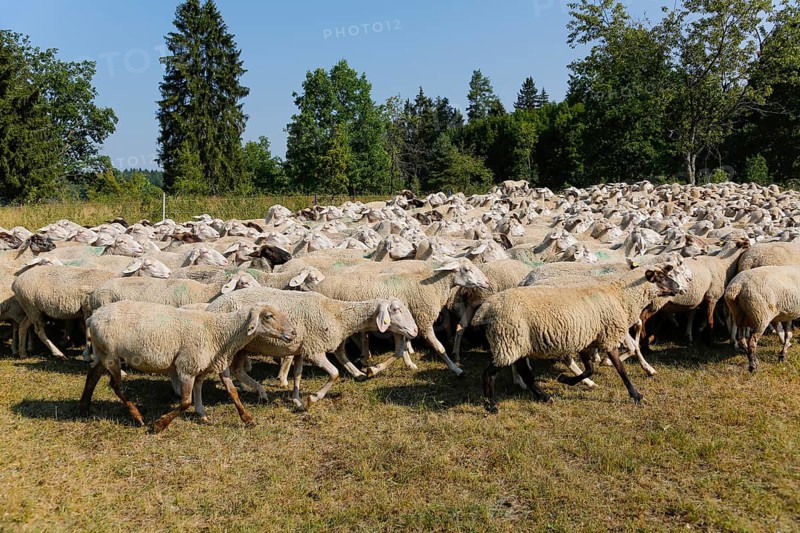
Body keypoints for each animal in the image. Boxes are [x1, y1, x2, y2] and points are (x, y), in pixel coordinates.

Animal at [80, 300, 296, 432]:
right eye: (268, 316)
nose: (294, 333)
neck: (221, 332)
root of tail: (93, 316)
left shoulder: (210, 365)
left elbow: (231, 392)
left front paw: (246, 418)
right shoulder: (187, 367)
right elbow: (185, 402)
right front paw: (159, 425)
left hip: (102, 353)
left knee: (92, 376)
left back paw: (84, 407)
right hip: (111, 355)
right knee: (115, 385)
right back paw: (137, 416)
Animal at [206, 288, 417, 408]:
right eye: (396, 309)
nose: (415, 331)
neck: (337, 314)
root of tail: (211, 306)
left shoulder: (303, 348)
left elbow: (298, 375)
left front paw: (297, 400)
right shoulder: (315, 350)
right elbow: (334, 374)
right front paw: (313, 399)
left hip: (242, 348)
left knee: (238, 370)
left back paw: (259, 391)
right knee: (229, 370)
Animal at [474, 263, 688, 413]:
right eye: (660, 277)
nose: (678, 287)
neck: (621, 296)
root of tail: (485, 309)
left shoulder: (589, 340)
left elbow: (590, 369)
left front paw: (566, 380)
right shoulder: (608, 336)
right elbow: (621, 370)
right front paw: (636, 395)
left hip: (517, 343)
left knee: (524, 372)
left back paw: (544, 397)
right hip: (508, 341)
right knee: (489, 374)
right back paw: (490, 406)